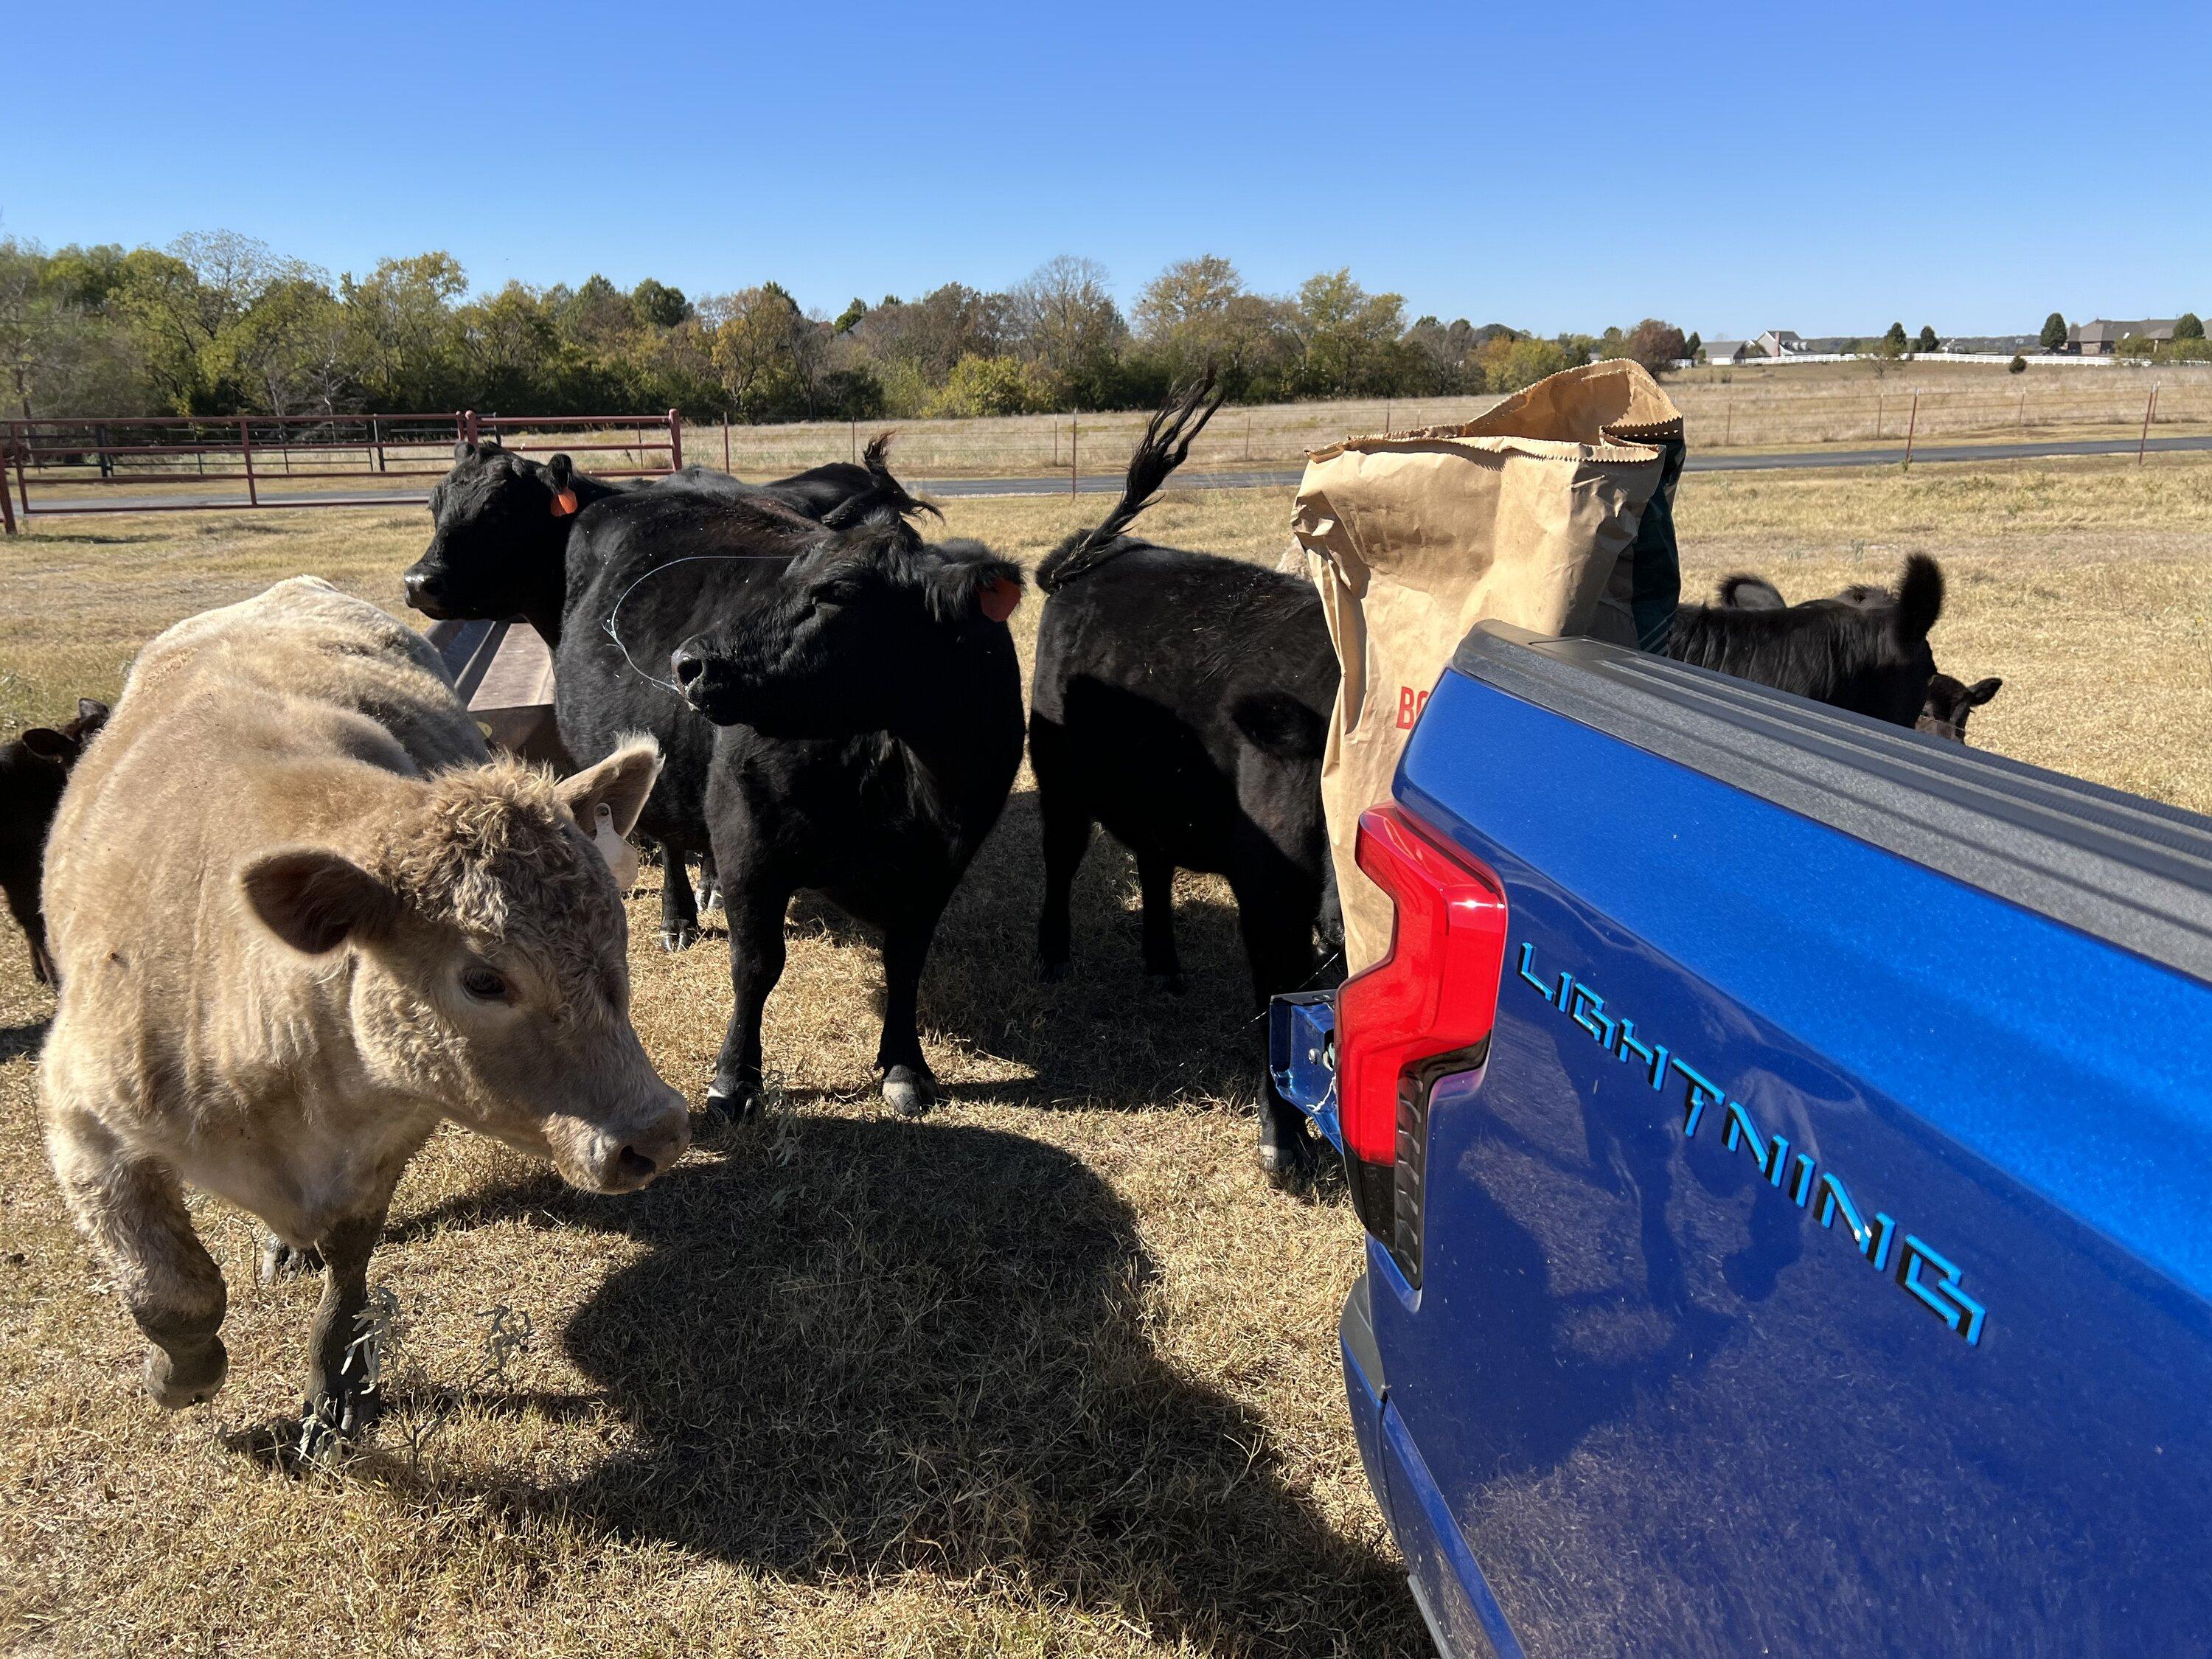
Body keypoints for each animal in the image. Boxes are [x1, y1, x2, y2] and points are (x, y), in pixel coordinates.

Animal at [41, 580, 681, 1451]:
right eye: (484, 979)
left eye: (617, 938)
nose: (658, 1132)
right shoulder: (85, 1123)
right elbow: (174, 1290)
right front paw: (176, 1377)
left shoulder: (388, 1138)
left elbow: (349, 1264)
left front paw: (337, 1391)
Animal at [668, 513, 1022, 1124]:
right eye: (785, 579)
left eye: (838, 594)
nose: (688, 663)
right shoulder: (747, 846)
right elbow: (756, 964)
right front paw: (734, 1081)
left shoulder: (939, 873)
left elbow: (905, 963)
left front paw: (906, 1066)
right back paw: (680, 918)